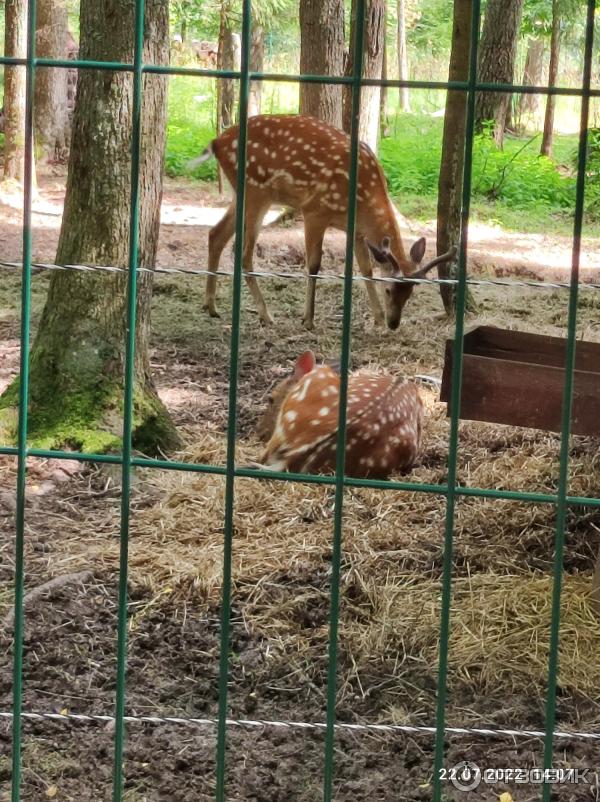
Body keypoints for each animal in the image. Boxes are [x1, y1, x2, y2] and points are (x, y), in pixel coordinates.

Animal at [192, 112, 454, 328]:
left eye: (410, 293)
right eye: (389, 290)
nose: (393, 323)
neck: (364, 198)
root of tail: (216, 142)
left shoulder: (356, 230)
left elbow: (366, 268)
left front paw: (377, 318)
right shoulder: (314, 210)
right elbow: (314, 265)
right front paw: (308, 319)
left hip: (242, 193)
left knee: (215, 234)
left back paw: (211, 306)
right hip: (257, 191)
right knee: (243, 252)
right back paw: (266, 315)